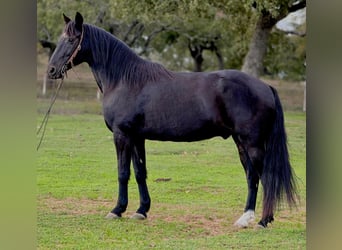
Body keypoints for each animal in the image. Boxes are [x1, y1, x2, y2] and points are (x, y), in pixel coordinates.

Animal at [46, 12, 296, 228]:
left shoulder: (122, 135)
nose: (51, 70)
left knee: (264, 177)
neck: (124, 80)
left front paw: (117, 210)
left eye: (71, 39)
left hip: (252, 143)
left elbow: (123, 173)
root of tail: (265, 86)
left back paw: (263, 221)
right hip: (240, 142)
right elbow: (140, 172)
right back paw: (246, 219)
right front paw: (141, 210)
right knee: (252, 176)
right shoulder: (137, 137)